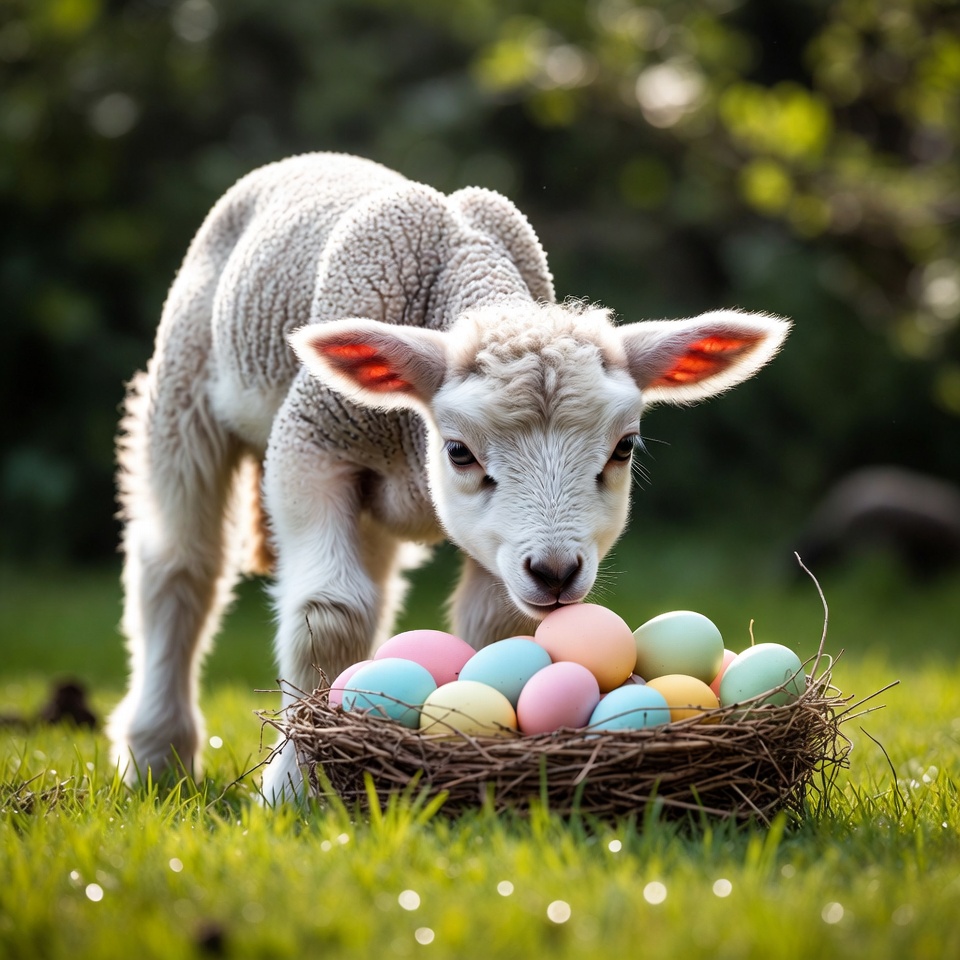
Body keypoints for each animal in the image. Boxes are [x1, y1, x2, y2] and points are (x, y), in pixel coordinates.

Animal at [107, 152, 789, 802]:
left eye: (625, 447)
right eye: (459, 452)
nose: (556, 572)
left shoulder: (496, 548)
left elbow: (496, 626)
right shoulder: (312, 442)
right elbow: (328, 613)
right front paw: (298, 787)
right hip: (183, 389)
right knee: (180, 565)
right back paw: (155, 756)